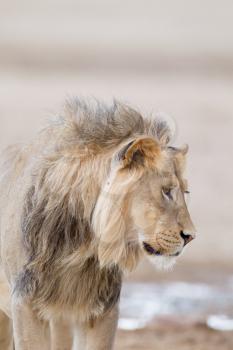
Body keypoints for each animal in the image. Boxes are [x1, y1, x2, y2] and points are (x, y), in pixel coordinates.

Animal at [0, 99, 196, 350]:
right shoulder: (25, 303)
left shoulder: (102, 309)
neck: (82, 243)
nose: (190, 236)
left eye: (184, 192)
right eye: (166, 191)